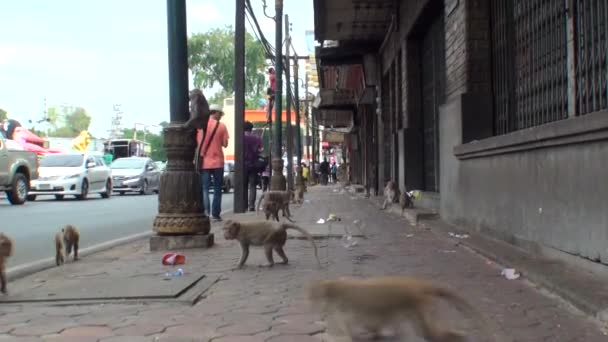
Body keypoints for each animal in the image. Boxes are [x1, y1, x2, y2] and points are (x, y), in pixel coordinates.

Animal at [308, 276, 490, 342]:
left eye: (313, 296)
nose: (309, 303)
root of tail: (417, 285)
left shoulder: (344, 307)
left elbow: (345, 335)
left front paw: (324, 335)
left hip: (417, 303)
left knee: (428, 333)